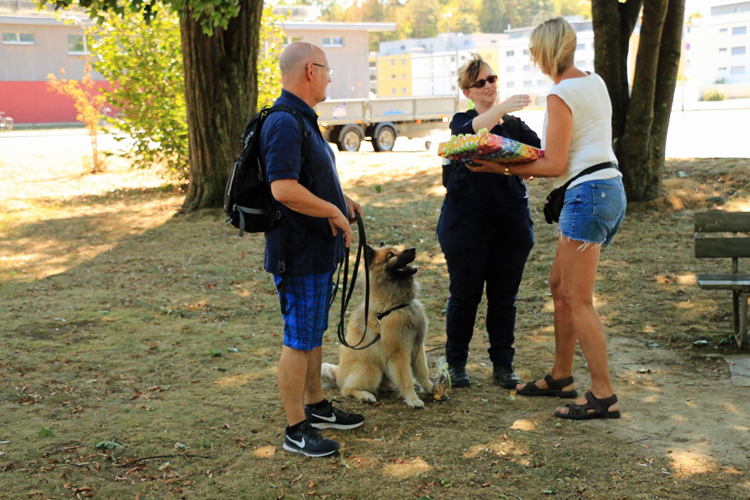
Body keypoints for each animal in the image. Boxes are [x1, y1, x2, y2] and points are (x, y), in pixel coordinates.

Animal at [322, 244, 434, 408]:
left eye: (398, 250)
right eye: (391, 255)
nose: (413, 249)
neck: (396, 305)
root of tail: (339, 374)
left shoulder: (418, 345)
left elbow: (423, 371)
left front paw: (432, 388)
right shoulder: (398, 353)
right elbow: (406, 377)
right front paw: (413, 400)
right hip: (371, 370)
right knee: (346, 389)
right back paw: (366, 395)